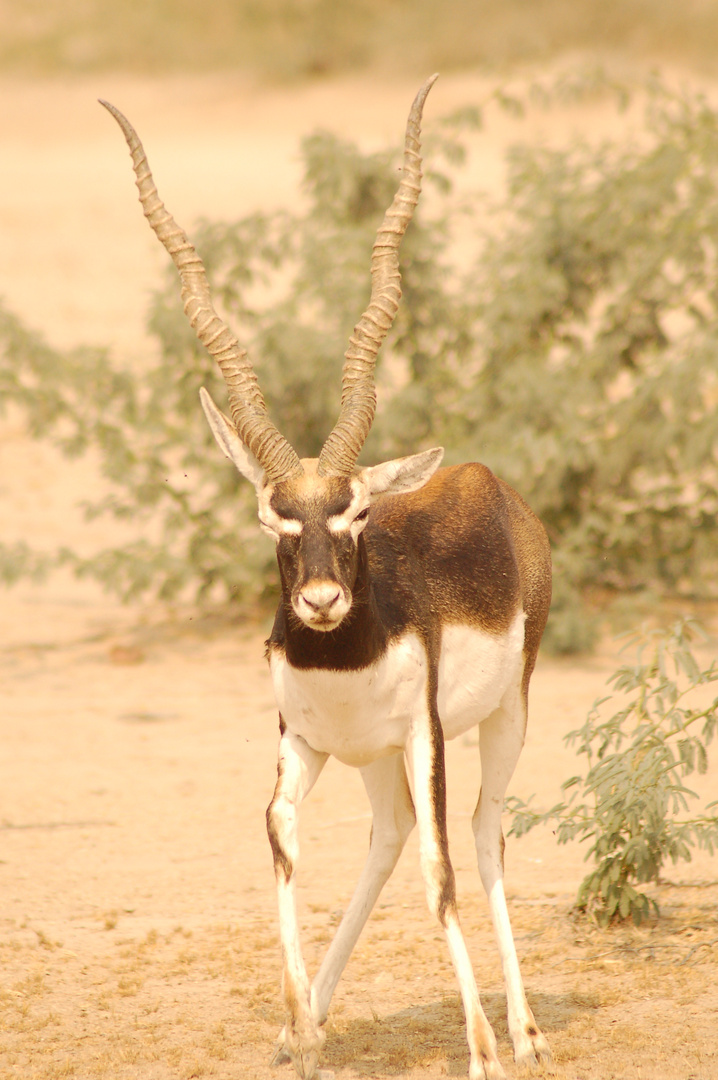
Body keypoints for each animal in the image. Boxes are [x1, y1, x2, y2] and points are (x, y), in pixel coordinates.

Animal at [102, 78, 548, 1080]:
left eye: (356, 517)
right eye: (276, 519)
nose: (319, 601)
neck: (346, 657)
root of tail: (487, 484)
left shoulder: (423, 736)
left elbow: (441, 874)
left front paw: (480, 1051)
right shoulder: (306, 741)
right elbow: (279, 834)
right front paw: (301, 1029)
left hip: (502, 714)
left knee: (481, 836)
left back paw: (525, 1031)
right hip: (372, 758)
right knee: (387, 838)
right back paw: (314, 1017)